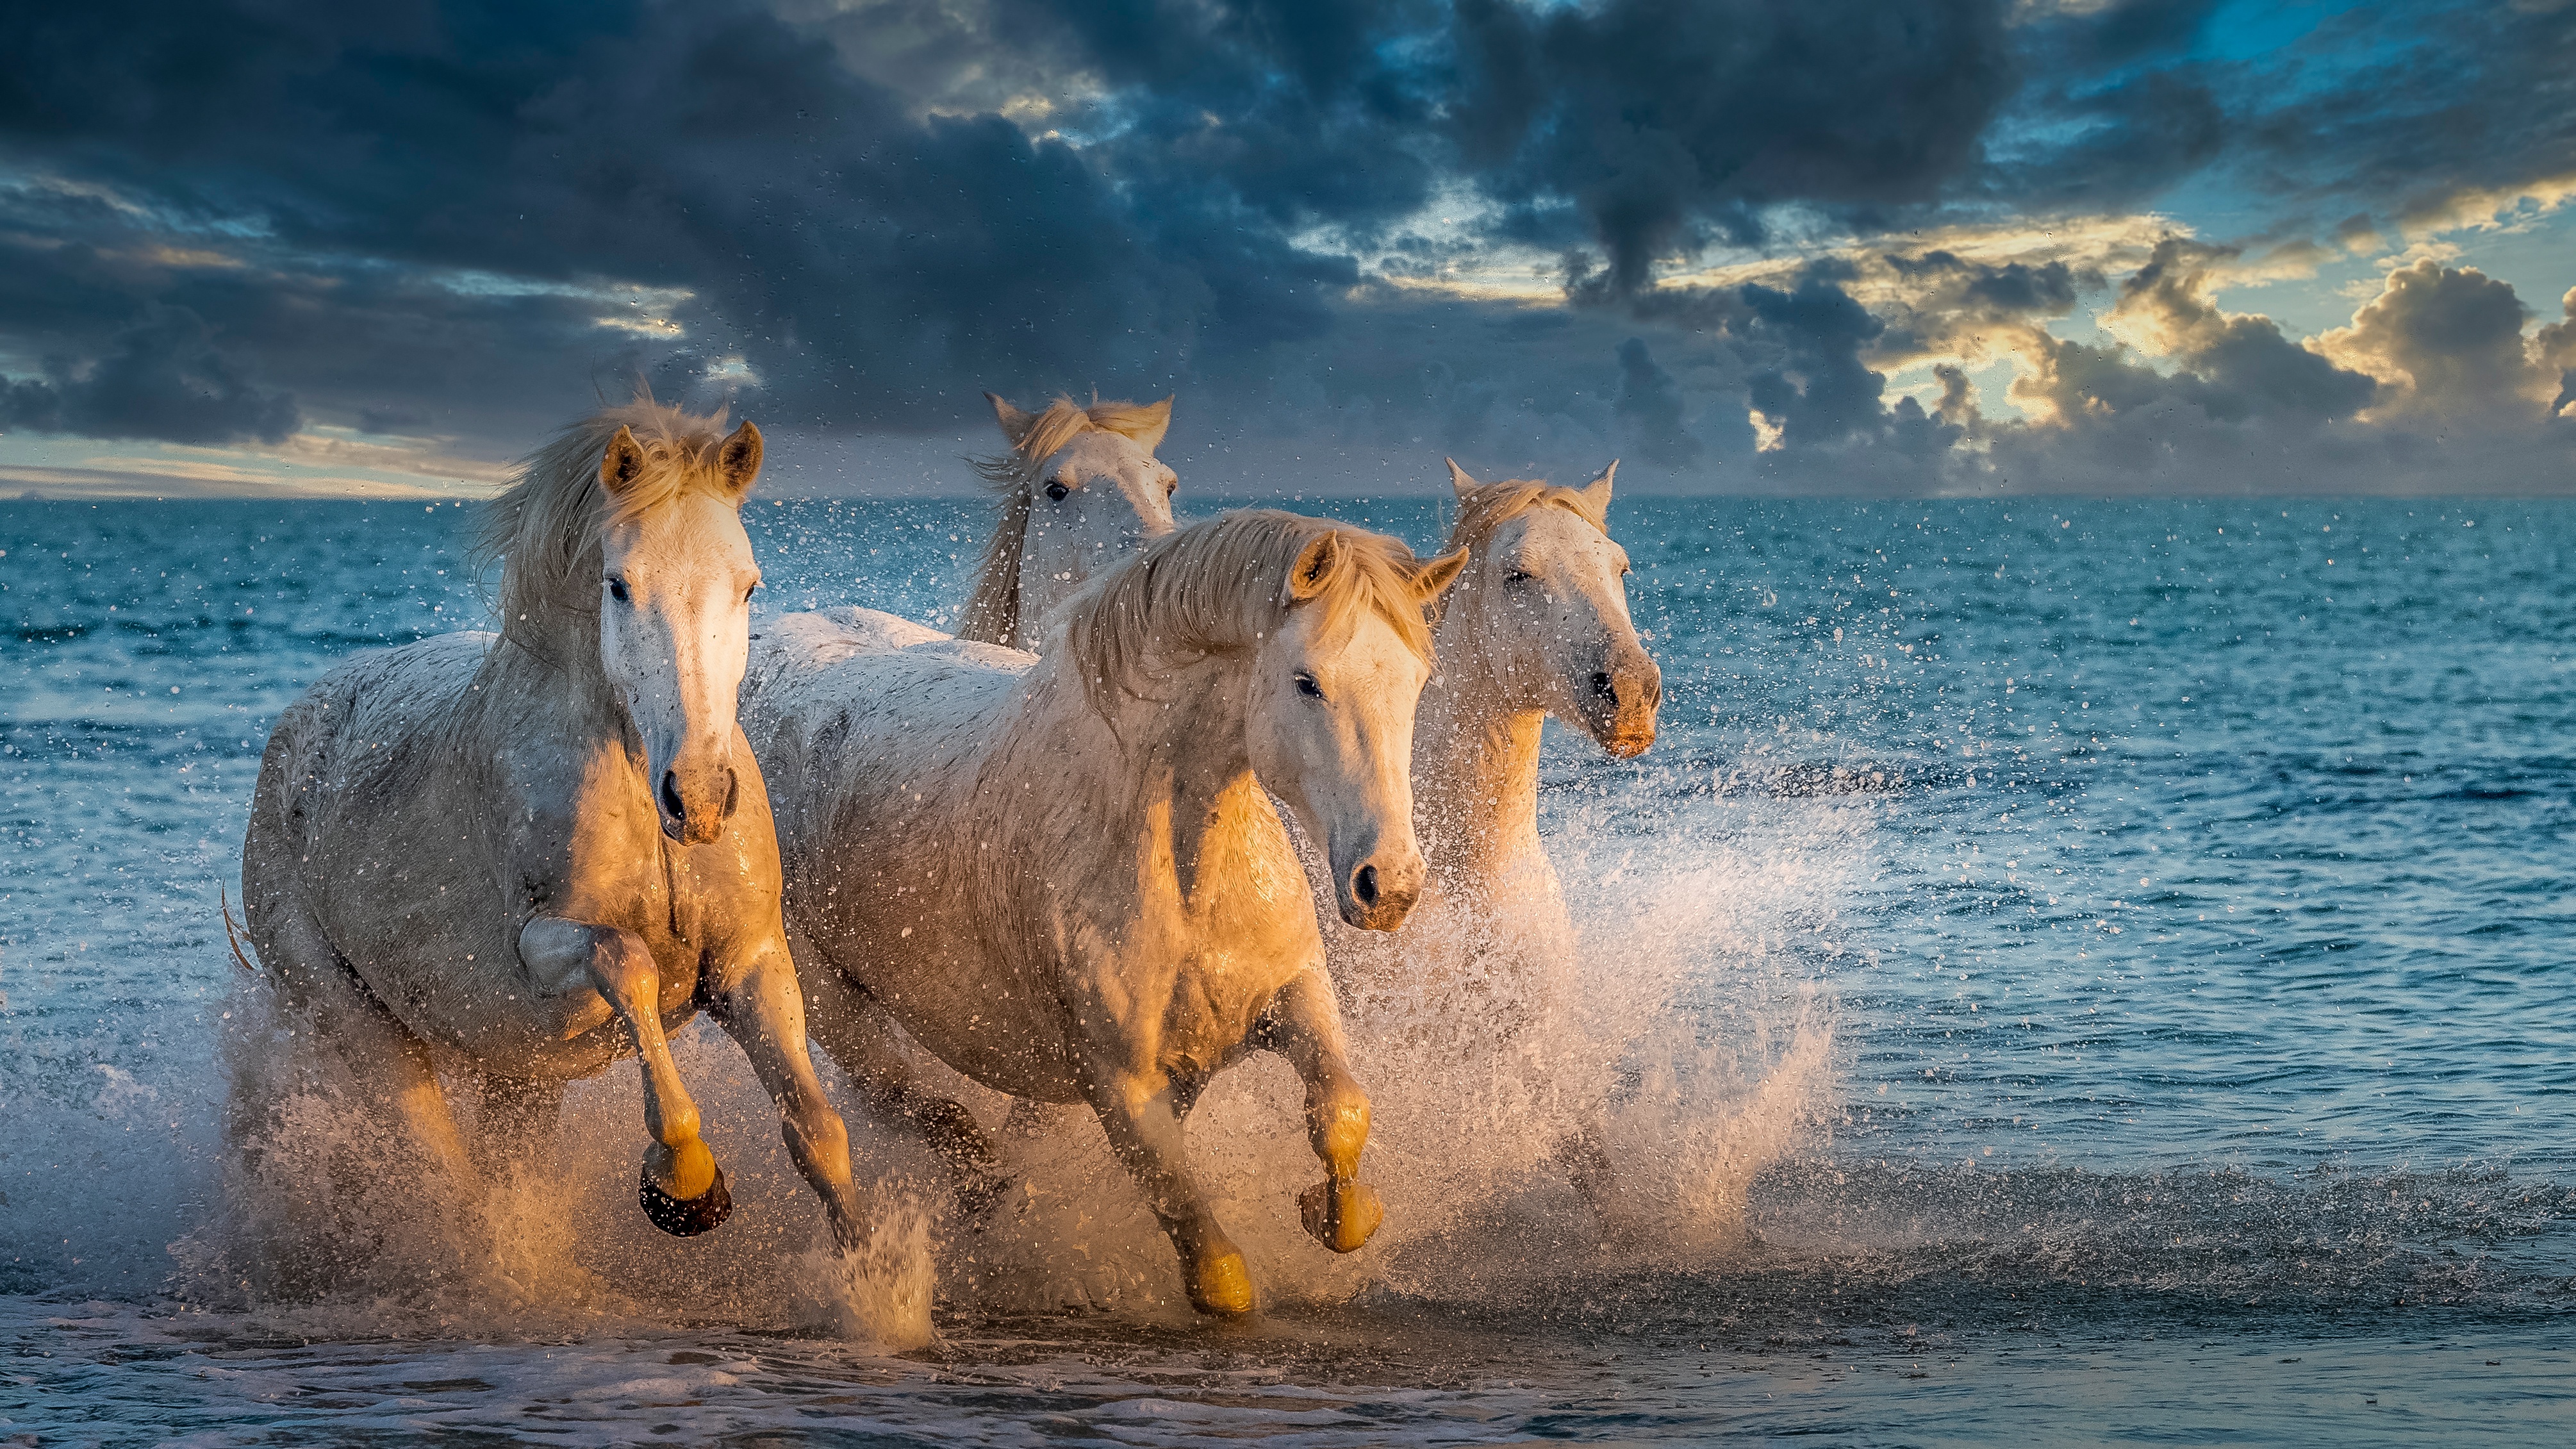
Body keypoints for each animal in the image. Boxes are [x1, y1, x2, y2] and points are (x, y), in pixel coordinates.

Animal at [233, 400, 870, 1265]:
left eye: (748, 585)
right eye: (619, 585)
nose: (700, 799)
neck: (638, 792)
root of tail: (293, 735)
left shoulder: (750, 958)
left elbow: (818, 1130)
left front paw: (883, 1284)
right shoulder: (538, 949)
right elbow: (627, 961)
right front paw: (686, 1180)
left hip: (519, 1076)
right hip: (364, 1033)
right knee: (444, 1180)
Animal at [740, 511, 1468, 1315]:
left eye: (1418, 681)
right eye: (1307, 681)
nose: (1389, 884)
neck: (1184, 877)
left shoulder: (1294, 996)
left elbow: (1341, 1108)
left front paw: (1338, 1214)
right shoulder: (1121, 1085)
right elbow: (1216, 1270)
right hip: (827, 1006)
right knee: (917, 1108)